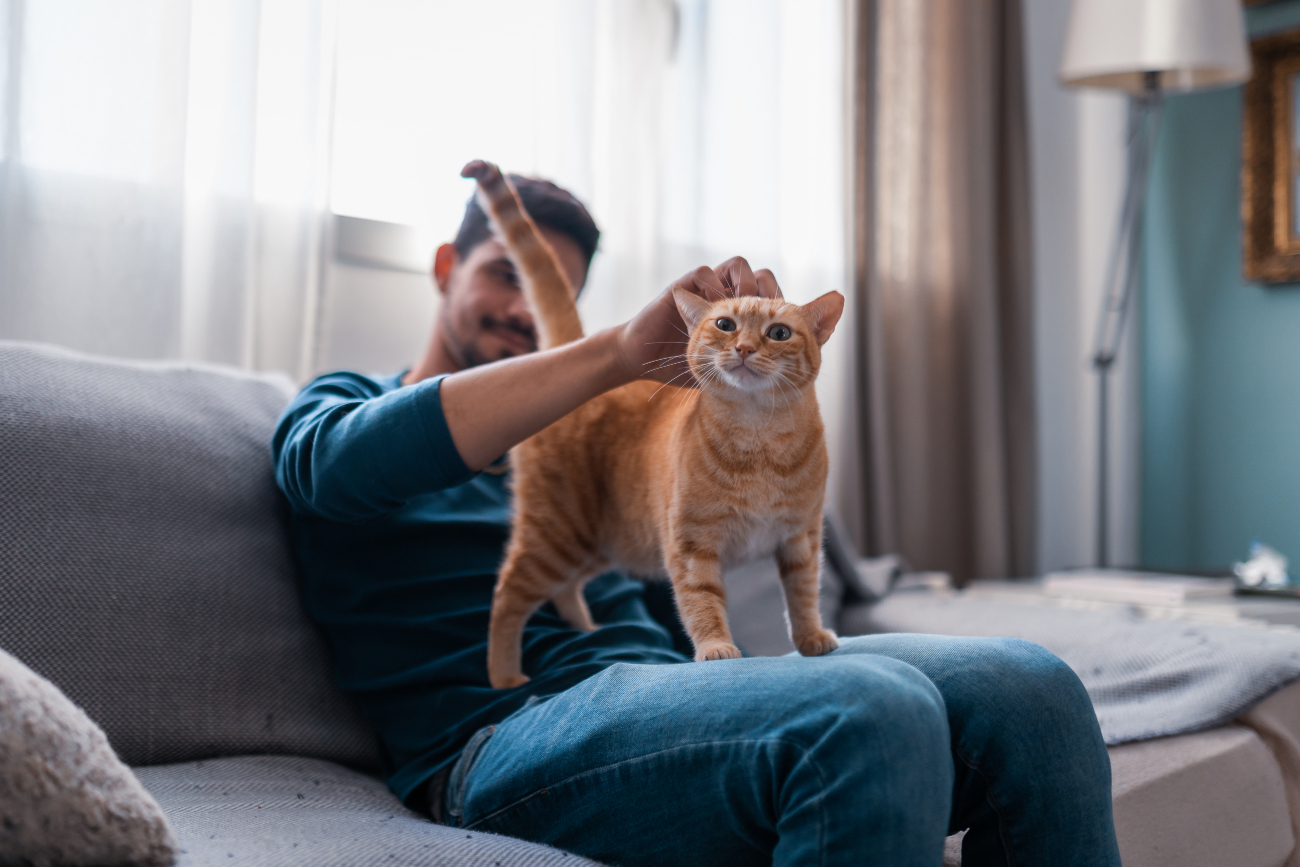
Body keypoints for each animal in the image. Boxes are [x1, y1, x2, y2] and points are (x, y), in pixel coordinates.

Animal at [462, 159, 847, 686]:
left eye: (779, 333)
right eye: (725, 325)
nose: (744, 349)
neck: (759, 439)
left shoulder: (801, 539)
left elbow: (804, 594)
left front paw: (811, 638)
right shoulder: (691, 546)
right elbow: (701, 602)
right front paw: (716, 648)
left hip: (602, 543)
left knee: (564, 589)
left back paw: (586, 628)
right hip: (557, 533)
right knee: (506, 595)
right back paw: (505, 675)